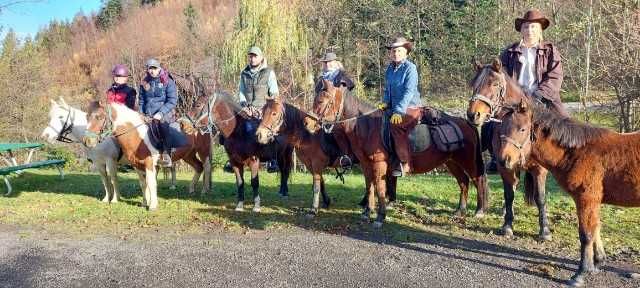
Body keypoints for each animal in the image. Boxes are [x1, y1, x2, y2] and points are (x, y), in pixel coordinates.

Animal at [302, 79, 488, 227]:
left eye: (321, 100)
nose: (307, 123)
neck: (369, 127)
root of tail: (467, 122)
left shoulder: (379, 164)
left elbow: (380, 188)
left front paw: (380, 216)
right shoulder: (365, 164)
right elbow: (369, 186)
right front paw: (367, 212)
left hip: (468, 161)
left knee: (477, 180)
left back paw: (479, 211)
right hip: (451, 162)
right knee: (463, 182)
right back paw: (460, 210)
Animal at [468, 58, 552, 241]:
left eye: (495, 84)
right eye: (474, 84)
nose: (473, 115)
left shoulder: (539, 169)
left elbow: (540, 198)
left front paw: (544, 230)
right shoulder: (505, 166)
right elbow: (509, 195)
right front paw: (507, 225)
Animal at [498, 98, 640, 286]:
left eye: (522, 129)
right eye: (502, 128)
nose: (503, 160)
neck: (578, 152)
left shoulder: (586, 199)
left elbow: (586, 235)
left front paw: (581, 273)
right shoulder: (593, 201)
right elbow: (595, 228)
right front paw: (597, 262)